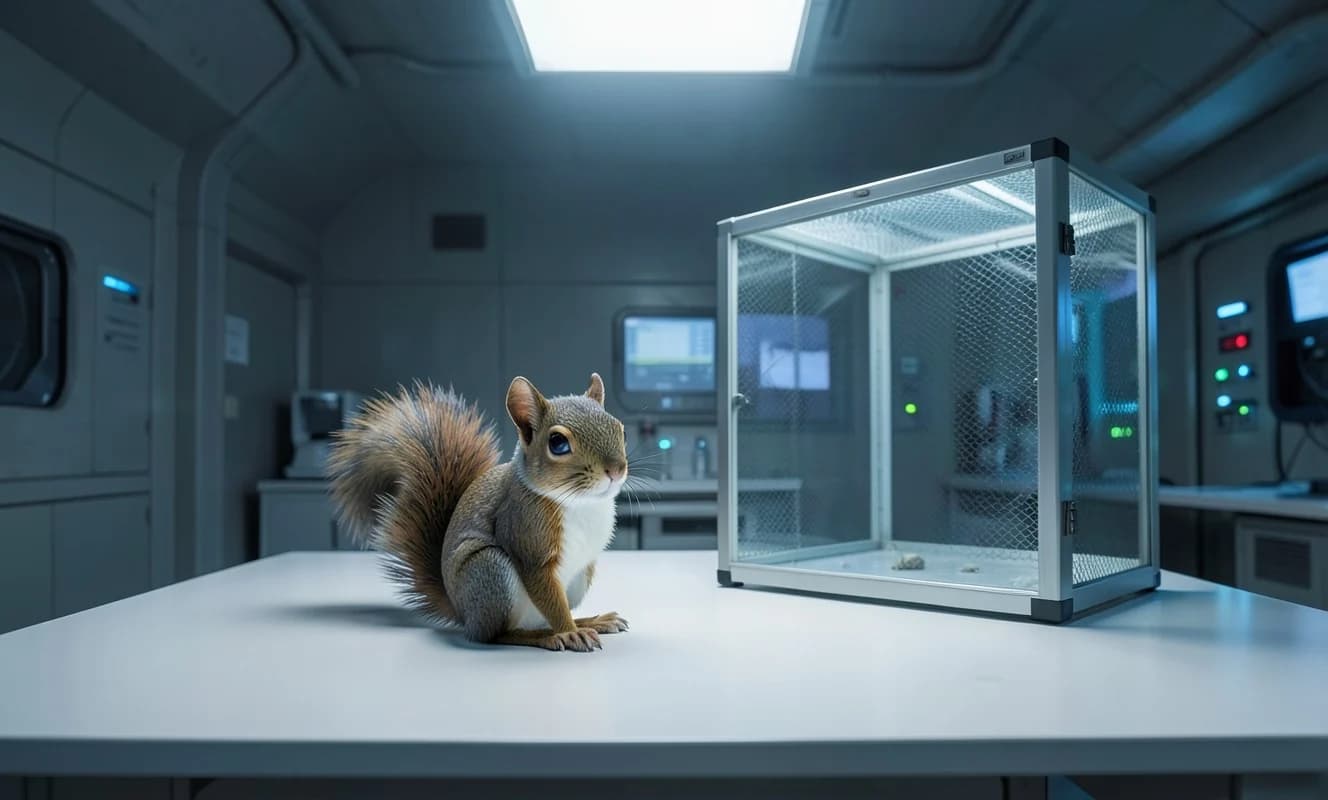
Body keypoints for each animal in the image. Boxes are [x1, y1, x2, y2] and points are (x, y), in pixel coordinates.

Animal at [327, 373, 631, 652]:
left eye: (621, 429)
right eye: (557, 443)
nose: (616, 470)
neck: (581, 503)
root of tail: (464, 615)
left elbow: (559, 604)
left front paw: (578, 626)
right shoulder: (526, 536)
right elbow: (549, 598)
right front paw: (569, 633)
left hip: (580, 578)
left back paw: (590, 621)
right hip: (490, 572)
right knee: (497, 634)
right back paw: (546, 636)